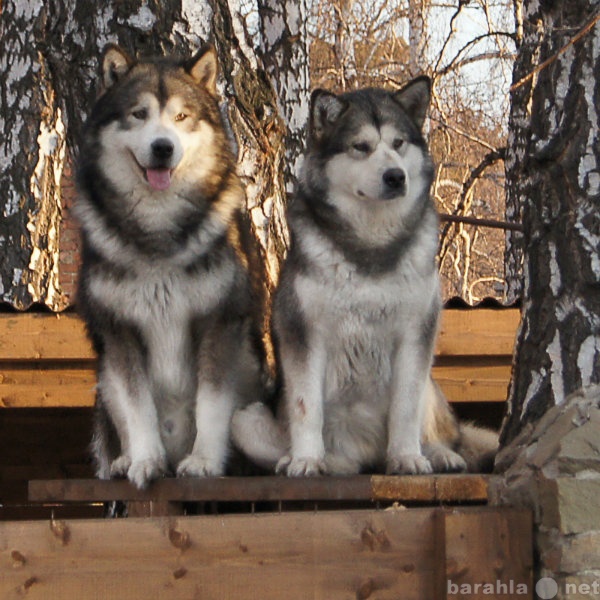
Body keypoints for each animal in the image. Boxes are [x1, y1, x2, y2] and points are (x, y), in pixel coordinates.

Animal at [77, 45, 260, 488]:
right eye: (139, 114)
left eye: (181, 117)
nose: (162, 148)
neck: (158, 235)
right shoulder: (120, 331)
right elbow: (137, 406)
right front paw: (145, 460)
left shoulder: (218, 320)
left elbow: (212, 404)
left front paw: (206, 461)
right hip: (105, 375)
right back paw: (124, 460)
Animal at [233, 78, 496, 474]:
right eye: (361, 147)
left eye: (398, 143)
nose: (396, 176)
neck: (371, 240)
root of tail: (368, 456)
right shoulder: (303, 332)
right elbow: (306, 407)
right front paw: (306, 459)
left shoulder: (415, 333)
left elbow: (405, 407)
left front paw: (407, 457)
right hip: (246, 421)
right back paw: (318, 460)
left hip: (430, 386)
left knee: (445, 433)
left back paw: (438, 454)